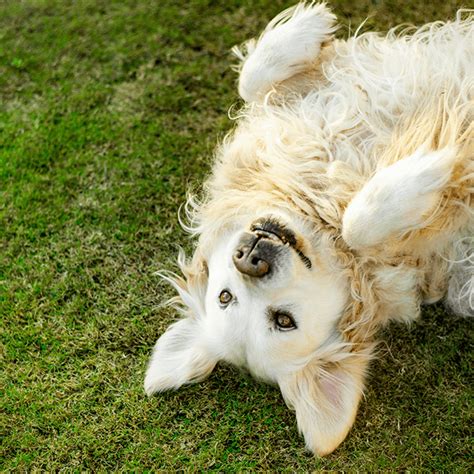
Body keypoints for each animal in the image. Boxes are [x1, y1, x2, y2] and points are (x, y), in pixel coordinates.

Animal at [145, 2, 474, 456]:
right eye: (284, 321)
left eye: (224, 296)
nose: (250, 258)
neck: (319, 209)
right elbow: (360, 226)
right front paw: (427, 171)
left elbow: (249, 82)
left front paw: (306, 28)